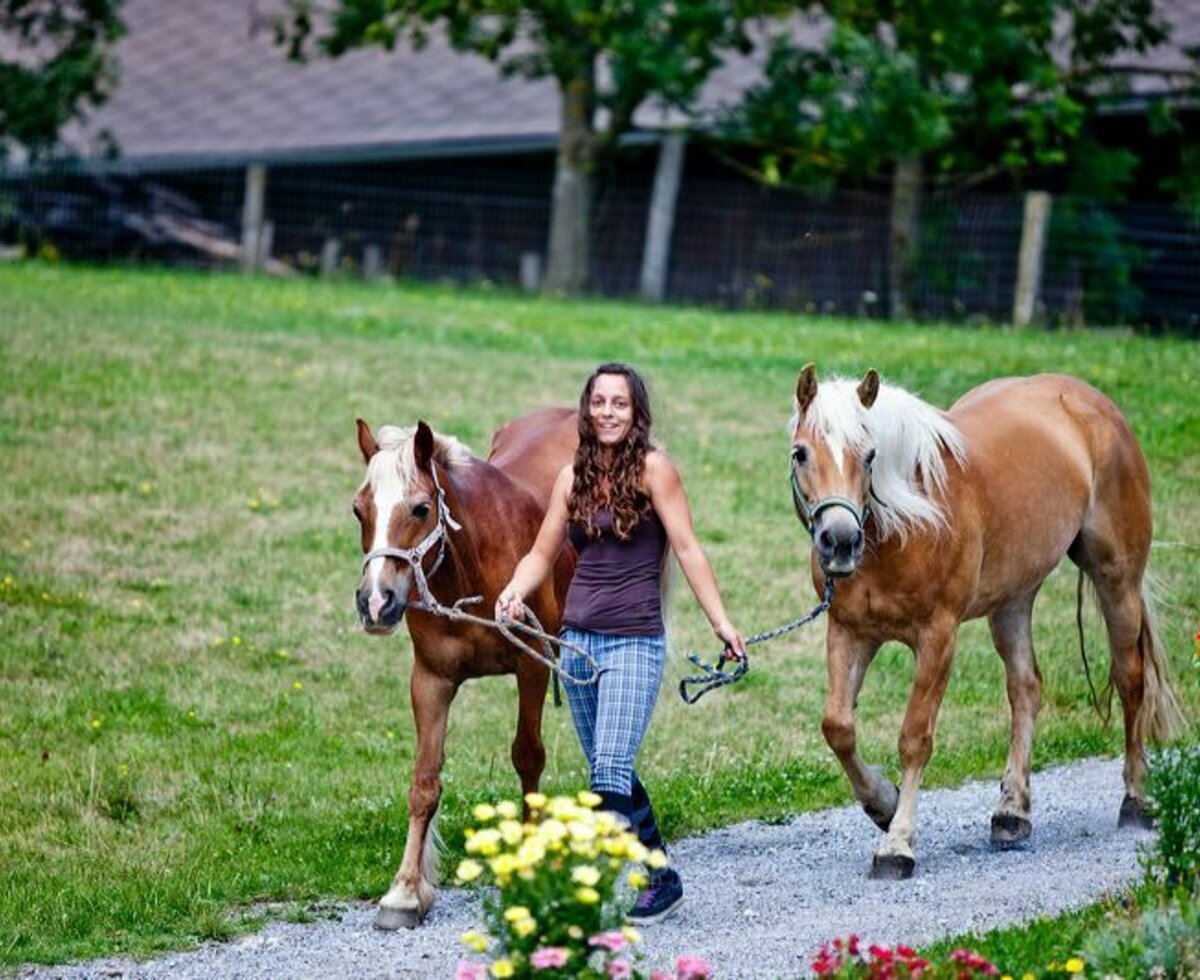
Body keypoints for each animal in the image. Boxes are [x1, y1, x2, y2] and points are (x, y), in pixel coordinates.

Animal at [350, 405, 576, 926]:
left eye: (420, 508)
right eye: (358, 509)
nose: (376, 602)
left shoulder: (533, 667)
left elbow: (528, 757)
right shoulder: (430, 680)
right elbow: (424, 782)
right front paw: (406, 891)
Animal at [787, 364, 1180, 878]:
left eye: (870, 454)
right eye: (800, 453)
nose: (839, 541)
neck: (905, 524)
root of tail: (1091, 401)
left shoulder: (938, 637)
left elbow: (915, 737)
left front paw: (897, 845)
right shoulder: (849, 633)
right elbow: (838, 727)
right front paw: (882, 803)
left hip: (1118, 580)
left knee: (1131, 679)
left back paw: (1134, 800)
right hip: (1014, 598)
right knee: (1026, 688)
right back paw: (1011, 813)